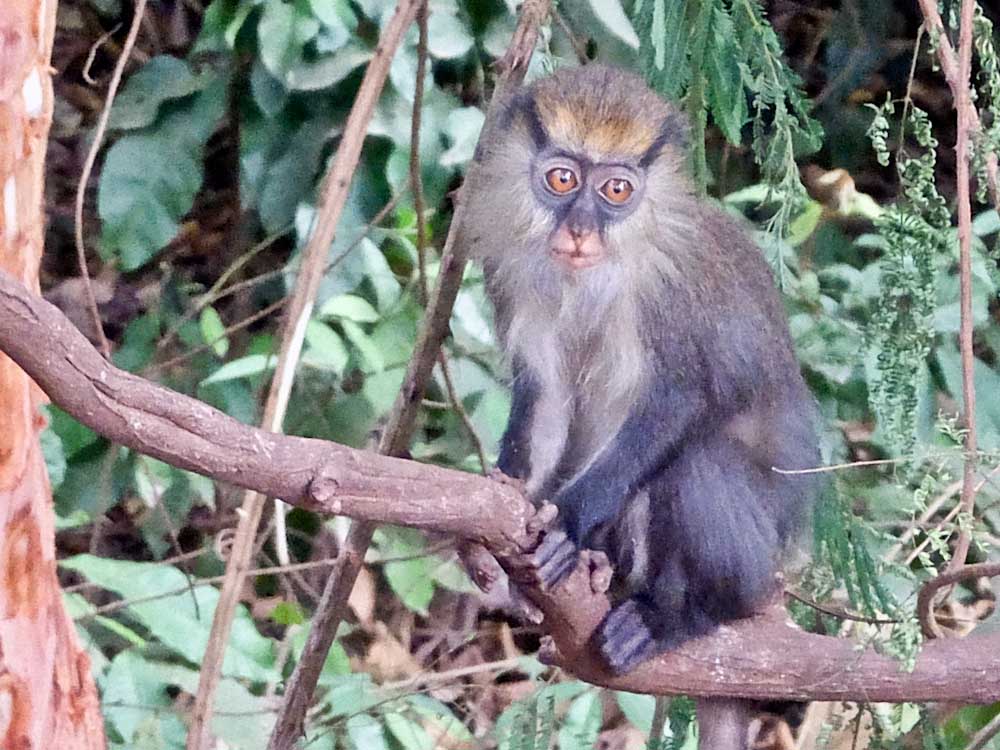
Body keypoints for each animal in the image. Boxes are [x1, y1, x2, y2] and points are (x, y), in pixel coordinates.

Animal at [457, 64, 820, 748]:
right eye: (563, 179)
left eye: (617, 189)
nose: (579, 229)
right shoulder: (512, 270)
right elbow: (546, 395)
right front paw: (501, 508)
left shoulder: (673, 291)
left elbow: (681, 399)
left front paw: (571, 521)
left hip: (757, 562)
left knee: (699, 466)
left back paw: (677, 615)